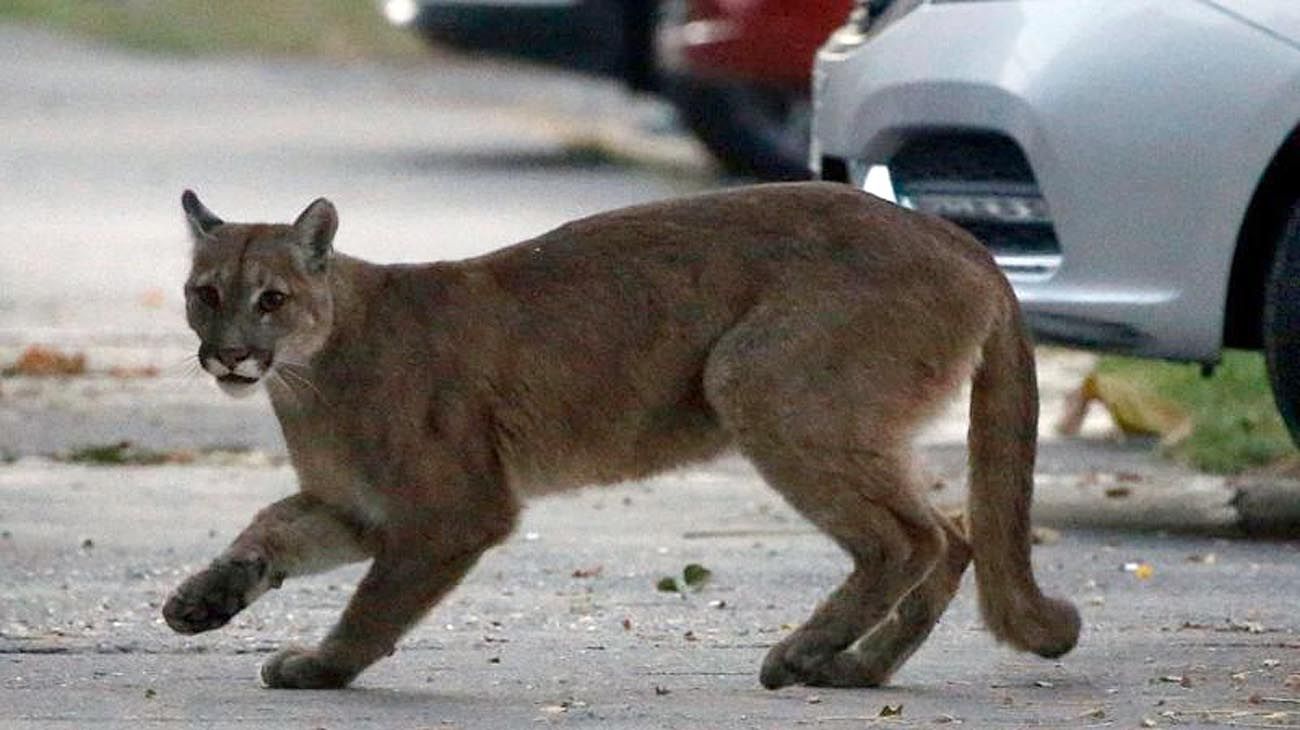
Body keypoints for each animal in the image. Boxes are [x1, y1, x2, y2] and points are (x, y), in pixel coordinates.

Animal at [162, 181, 1076, 685]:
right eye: (206, 293)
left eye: (271, 298)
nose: (229, 354)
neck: (308, 375)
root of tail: (959, 237)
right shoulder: (358, 506)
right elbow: (270, 529)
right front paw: (204, 600)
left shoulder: (452, 511)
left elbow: (375, 602)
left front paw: (325, 667)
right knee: (954, 534)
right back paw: (856, 669)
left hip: (756, 380)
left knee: (908, 539)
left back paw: (805, 654)